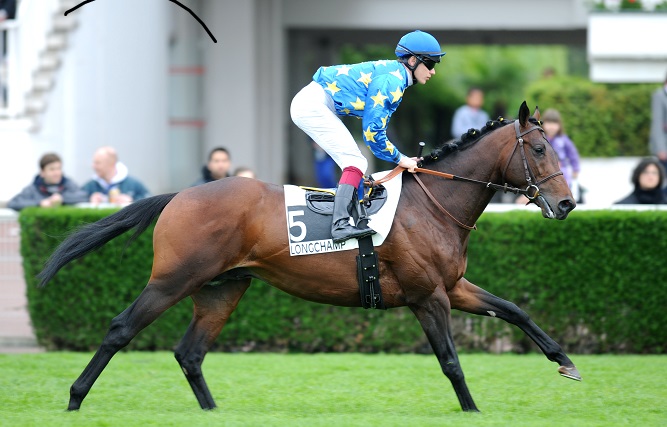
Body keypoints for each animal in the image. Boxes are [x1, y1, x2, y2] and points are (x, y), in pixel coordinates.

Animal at [37, 102, 580, 412]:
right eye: (538, 148)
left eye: (555, 147)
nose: (567, 204)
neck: (433, 204)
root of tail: (180, 195)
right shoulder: (428, 297)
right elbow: (451, 361)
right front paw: (473, 412)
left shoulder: (452, 287)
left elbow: (513, 310)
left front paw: (565, 361)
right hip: (173, 279)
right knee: (120, 329)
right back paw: (74, 399)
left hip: (222, 288)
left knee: (190, 353)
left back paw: (213, 413)